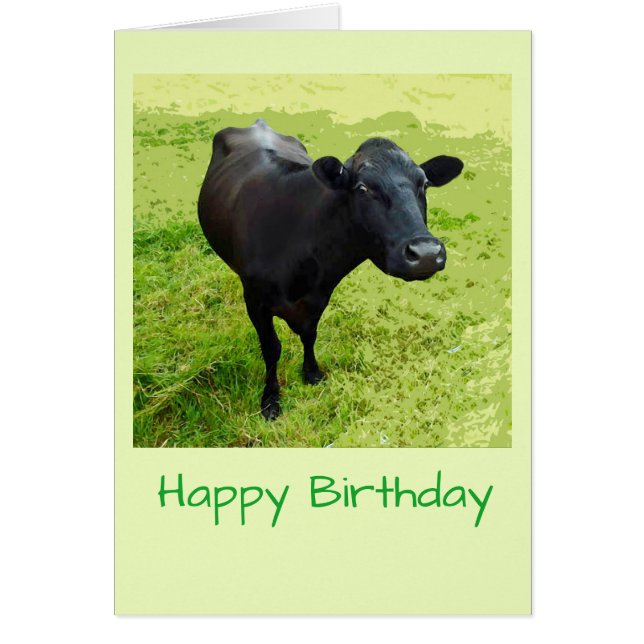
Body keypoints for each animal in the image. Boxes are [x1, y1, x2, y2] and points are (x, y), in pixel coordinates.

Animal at [198, 119, 463, 420]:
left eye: (425, 184)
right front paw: (271, 399)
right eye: (362, 188)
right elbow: (271, 348)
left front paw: (312, 373)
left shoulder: (320, 294)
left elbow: (309, 334)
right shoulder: (255, 300)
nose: (426, 253)